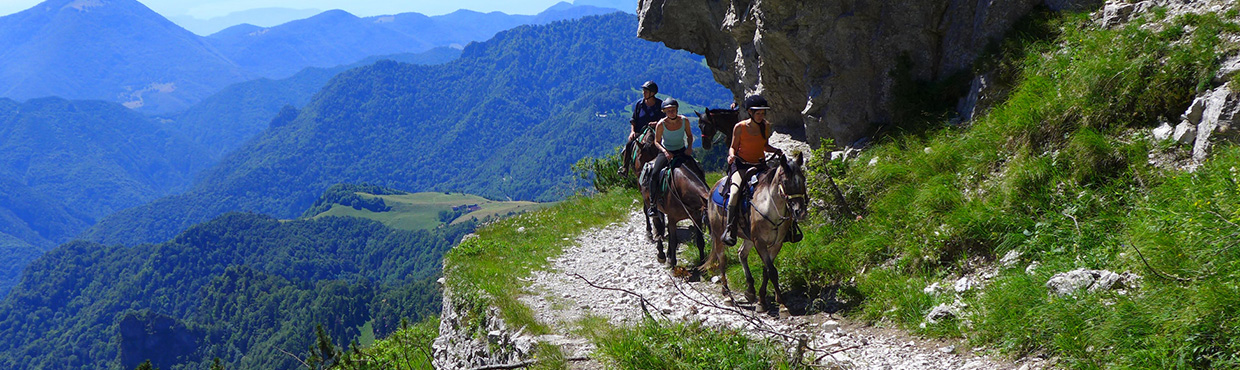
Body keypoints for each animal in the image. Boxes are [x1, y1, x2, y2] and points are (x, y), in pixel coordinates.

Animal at [704, 152, 808, 311]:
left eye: (803, 179)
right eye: (785, 182)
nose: (800, 212)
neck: (770, 207)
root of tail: (713, 188)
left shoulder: (776, 244)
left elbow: (767, 270)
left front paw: (762, 300)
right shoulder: (760, 242)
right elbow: (772, 271)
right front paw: (781, 304)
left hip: (748, 238)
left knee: (741, 253)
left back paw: (750, 291)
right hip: (718, 234)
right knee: (722, 259)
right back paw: (727, 294)